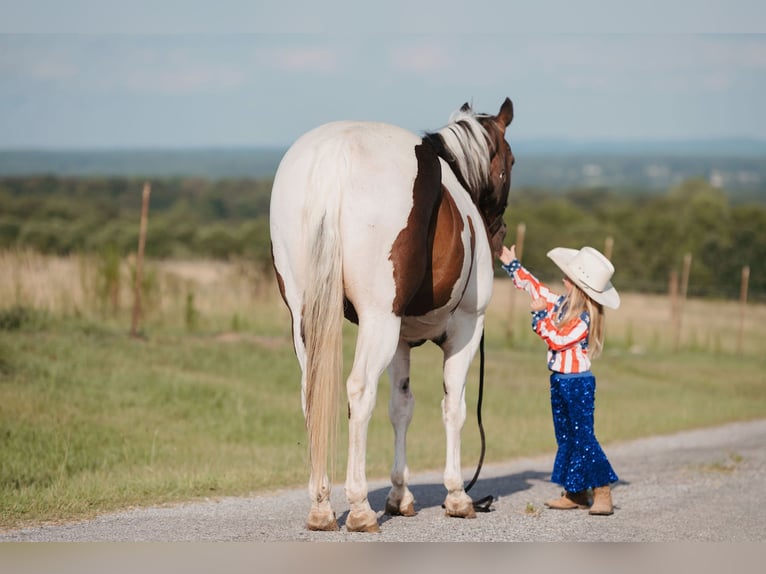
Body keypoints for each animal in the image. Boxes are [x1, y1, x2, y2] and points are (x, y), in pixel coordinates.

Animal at [270, 99, 516, 536]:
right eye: (511, 160)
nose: (499, 234)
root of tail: (335, 154)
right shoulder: (466, 329)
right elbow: (454, 406)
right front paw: (457, 496)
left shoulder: (401, 340)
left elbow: (401, 407)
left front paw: (400, 496)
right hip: (378, 321)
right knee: (358, 391)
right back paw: (359, 509)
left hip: (304, 319)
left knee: (311, 393)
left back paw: (321, 507)